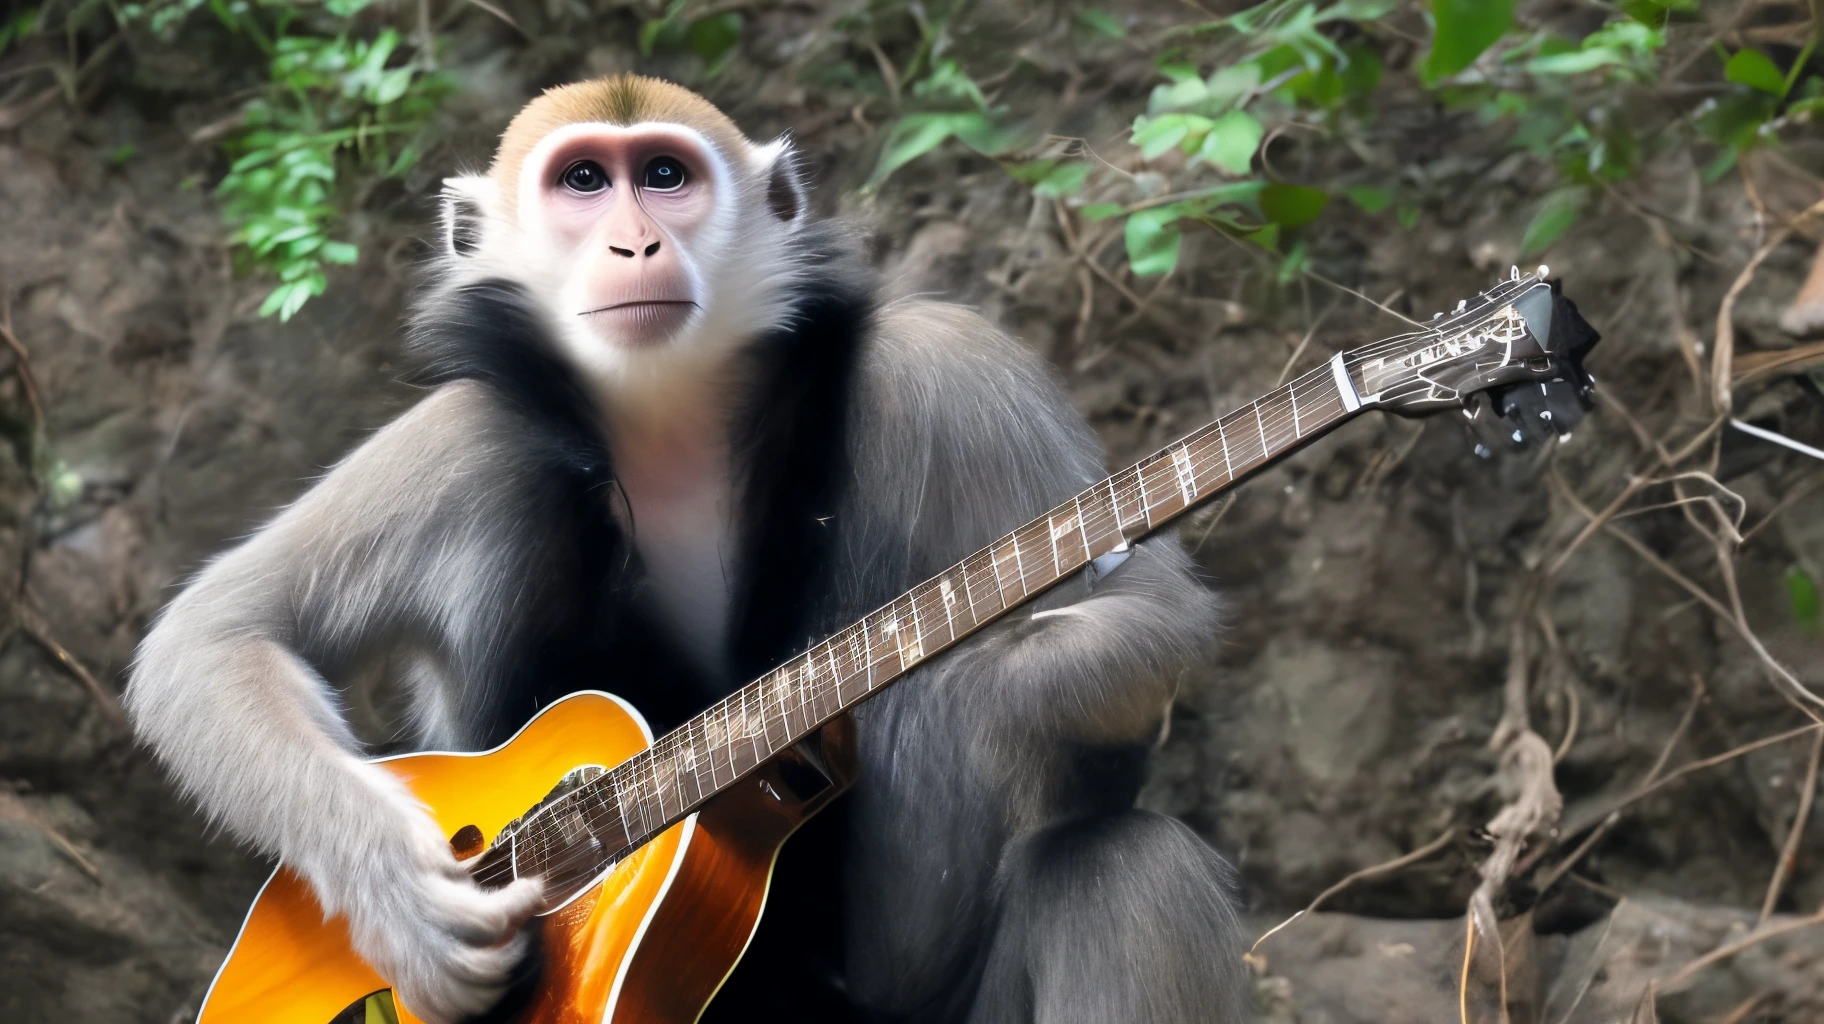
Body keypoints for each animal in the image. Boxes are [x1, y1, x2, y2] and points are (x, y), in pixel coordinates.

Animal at [121, 75, 1247, 1014]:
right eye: (583, 181)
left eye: (665, 176)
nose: (634, 243)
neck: (669, 415)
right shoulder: (472, 424)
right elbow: (215, 635)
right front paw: (404, 903)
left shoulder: (951, 361)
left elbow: (1155, 607)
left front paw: (939, 663)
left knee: (1124, 865)